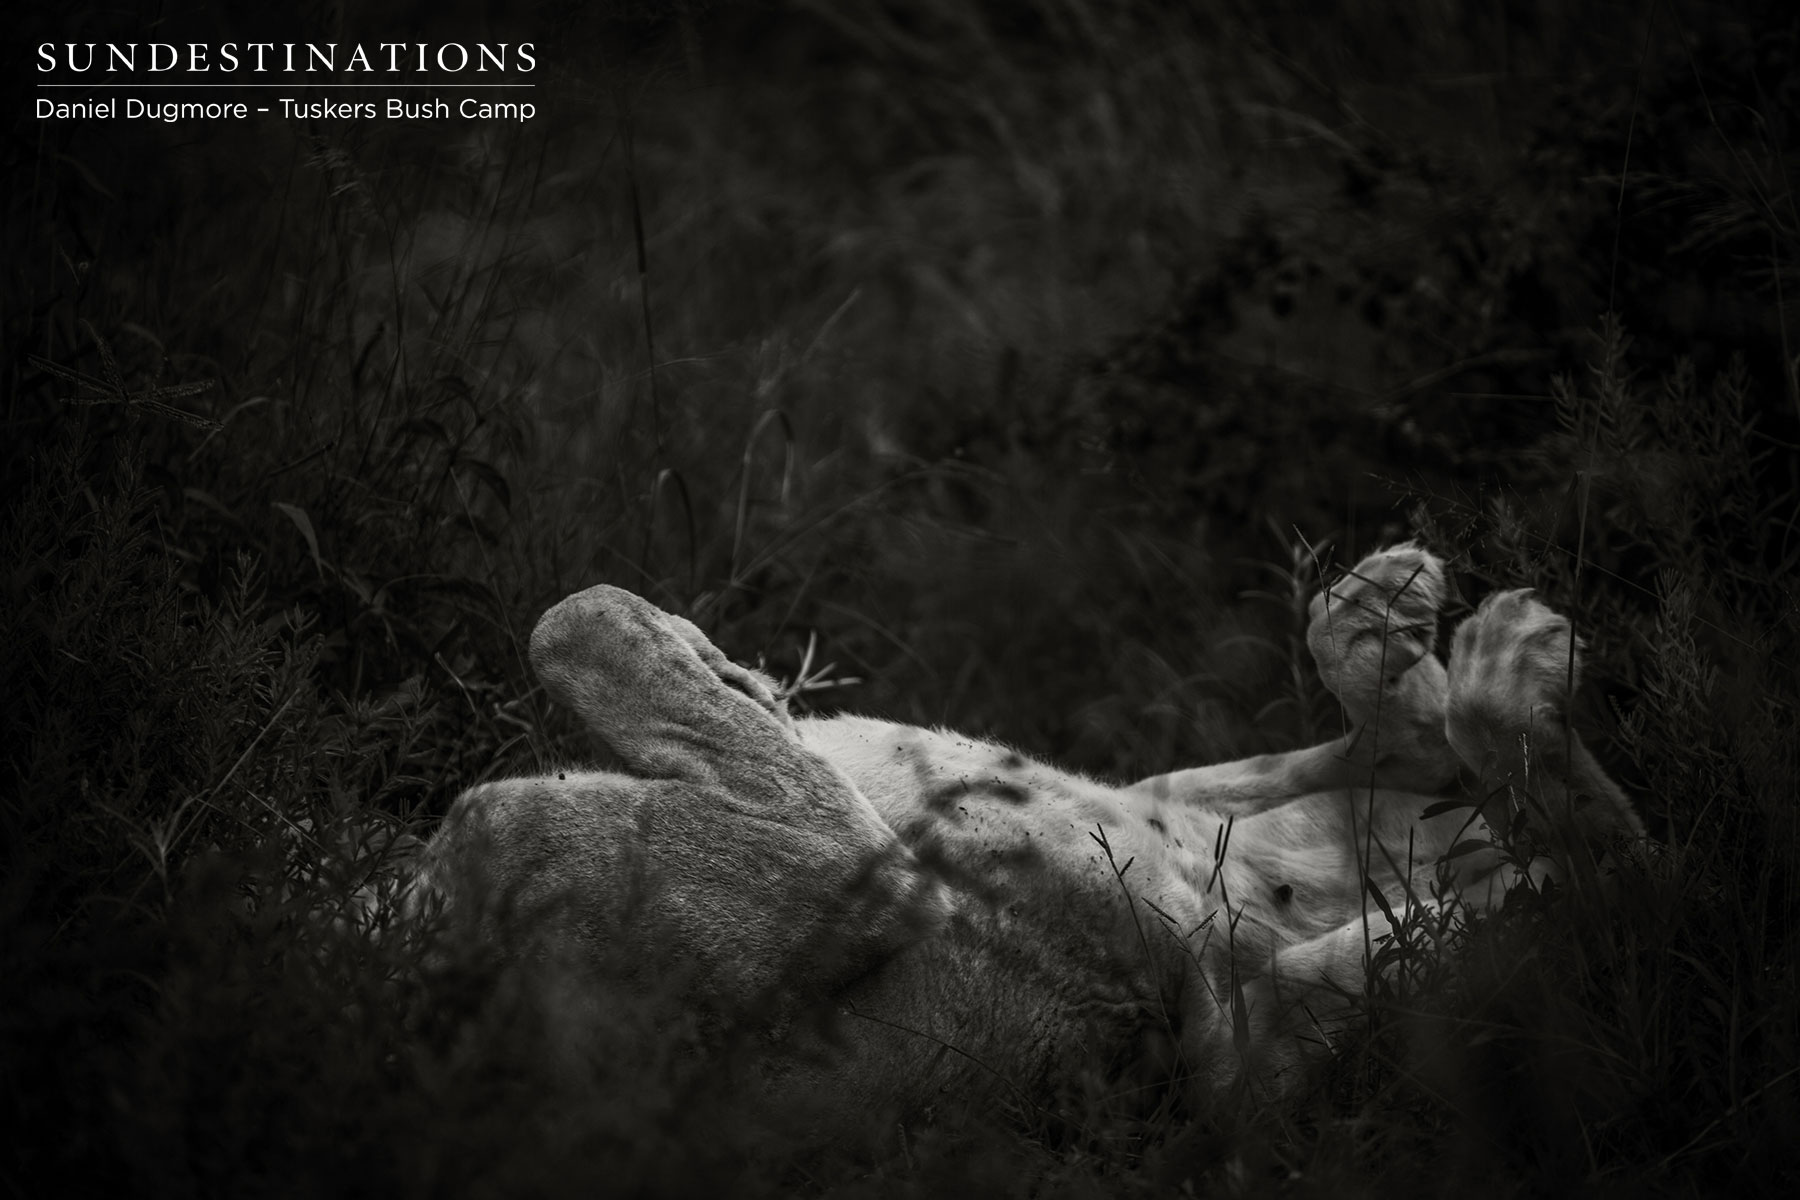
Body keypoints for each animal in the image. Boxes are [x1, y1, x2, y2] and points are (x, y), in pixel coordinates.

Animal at [412, 544, 1643, 1132]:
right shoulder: (830, 875)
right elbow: (572, 623)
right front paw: (720, 668)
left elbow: (572, 616)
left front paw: (732, 671)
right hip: (1256, 1046)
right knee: (1599, 869)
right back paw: (1507, 661)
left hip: (1179, 797)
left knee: (1417, 752)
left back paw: (1386, 613)